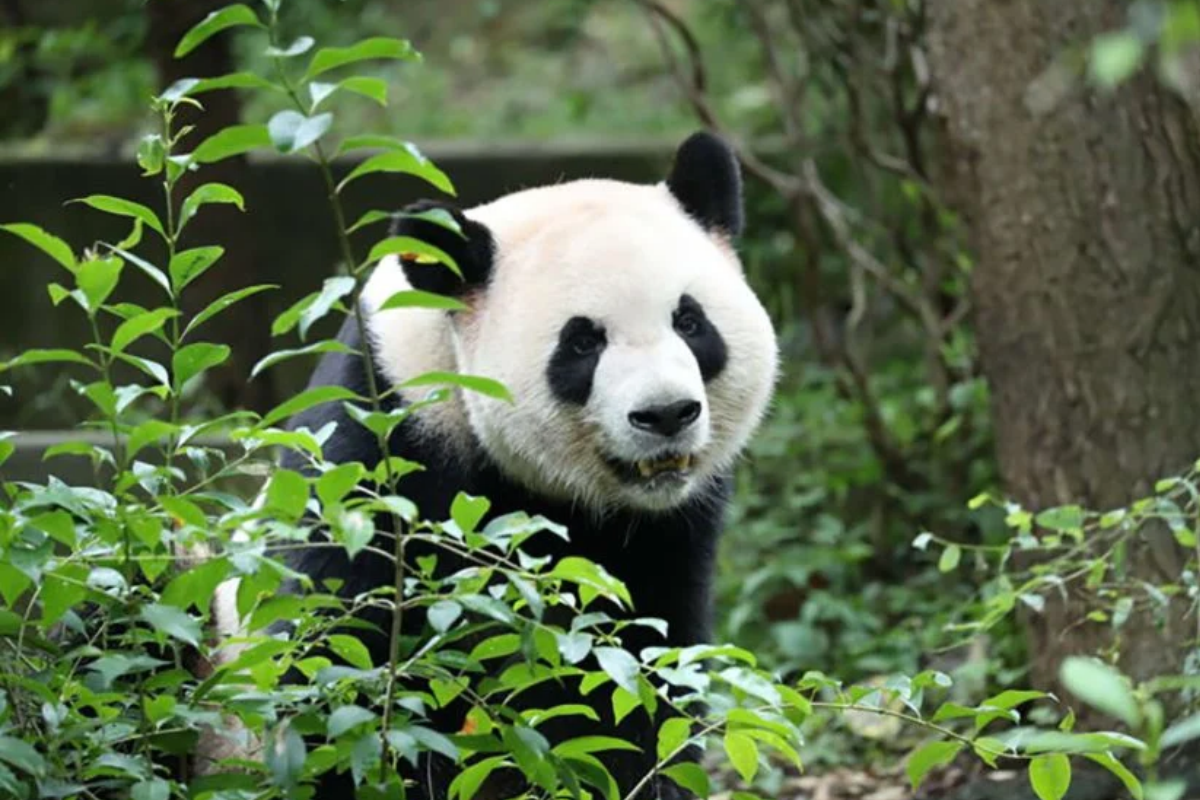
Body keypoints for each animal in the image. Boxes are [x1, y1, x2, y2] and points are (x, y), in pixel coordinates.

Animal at [213, 131, 778, 798]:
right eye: (582, 342)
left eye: (690, 322)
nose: (666, 414)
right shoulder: (382, 443)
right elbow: (336, 646)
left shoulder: (666, 530)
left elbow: (637, 666)